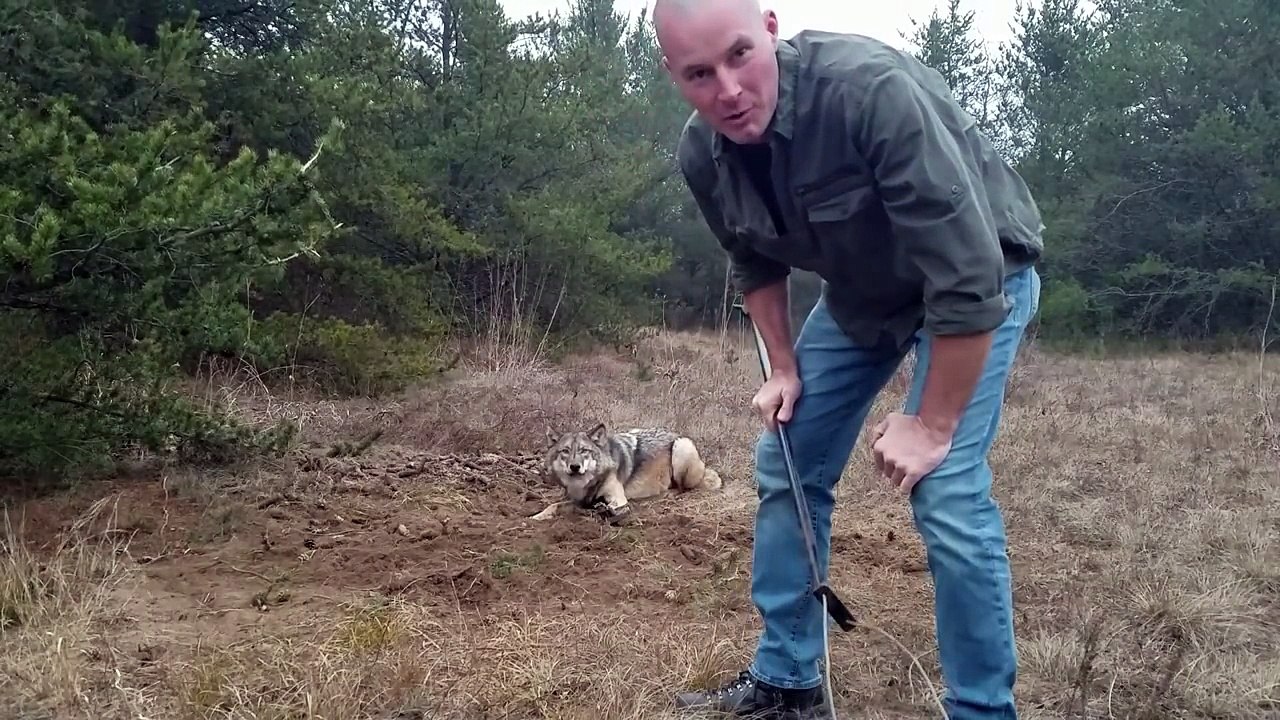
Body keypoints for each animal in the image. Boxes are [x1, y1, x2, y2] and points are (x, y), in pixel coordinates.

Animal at [530, 422, 723, 524]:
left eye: (584, 450)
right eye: (565, 451)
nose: (575, 466)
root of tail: (674, 433)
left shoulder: (617, 500)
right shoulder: (577, 499)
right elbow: (553, 505)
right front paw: (537, 516)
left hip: (681, 447)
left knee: (682, 489)